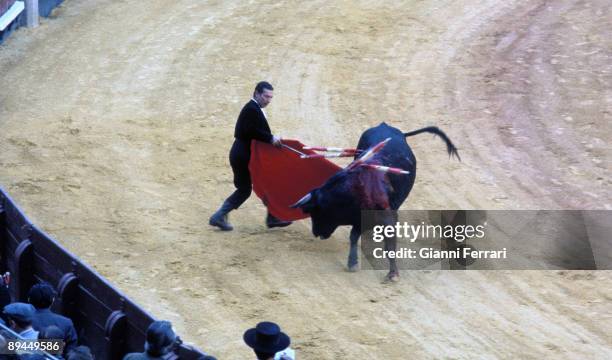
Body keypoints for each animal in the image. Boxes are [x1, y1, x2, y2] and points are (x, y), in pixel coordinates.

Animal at [292, 122, 460, 282]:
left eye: (316, 212)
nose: (316, 232)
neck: (355, 191)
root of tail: (386, 126)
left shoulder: (387, 218)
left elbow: (389, 246)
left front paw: (393, 274)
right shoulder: (359, 219)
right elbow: (353, 237)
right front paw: (352, 263)